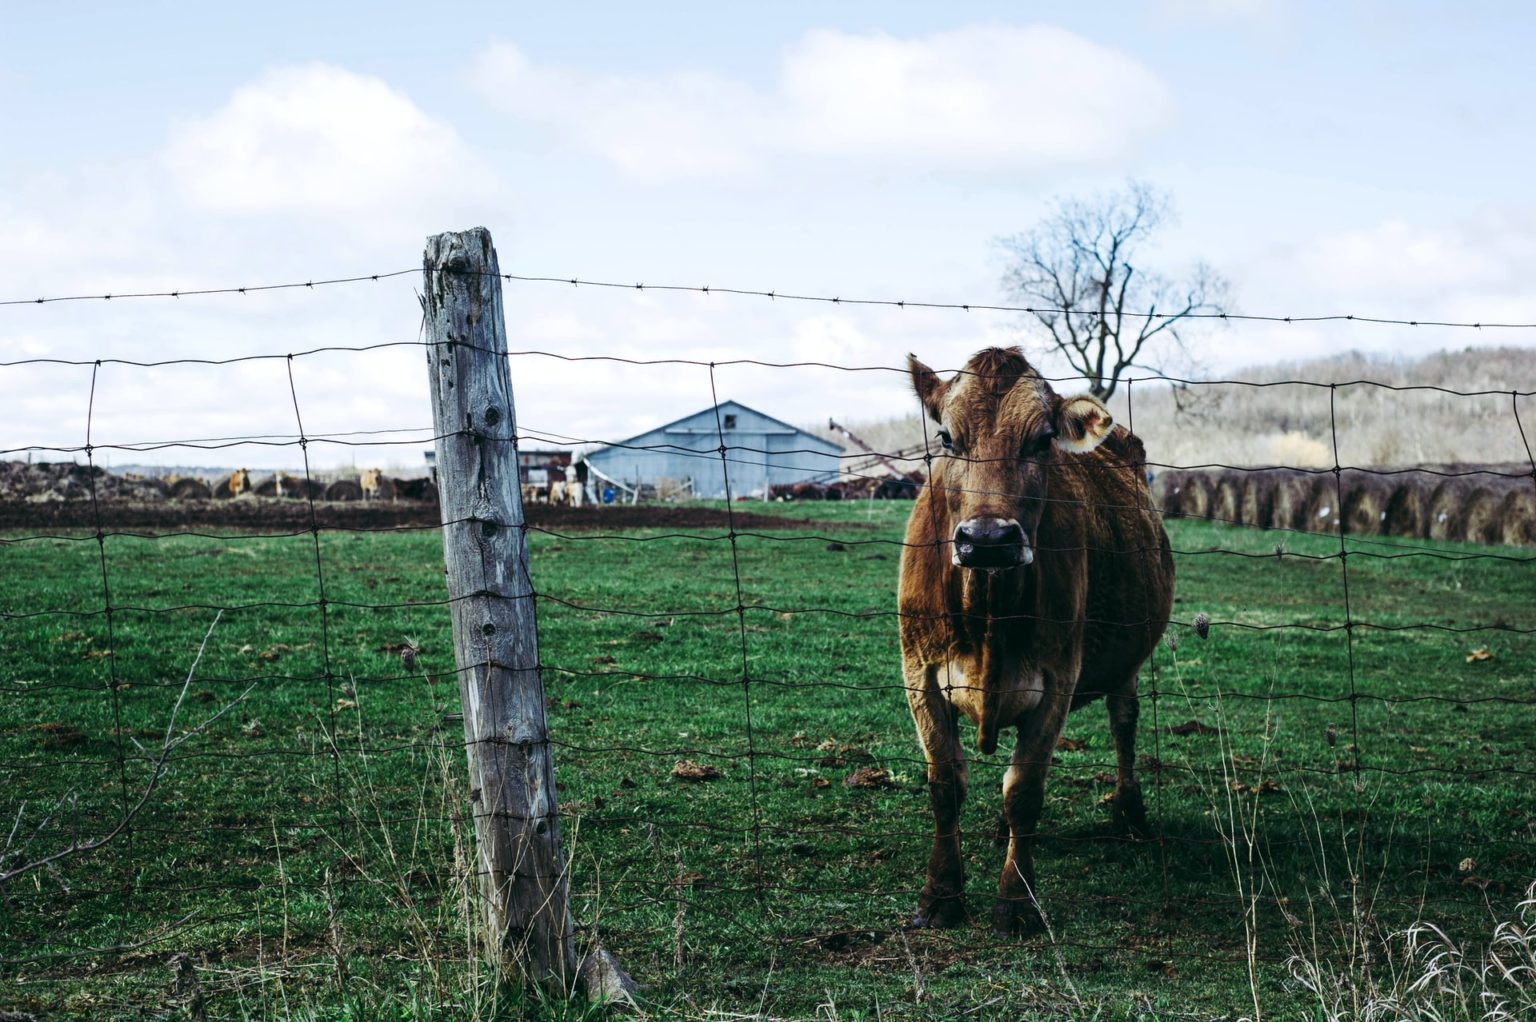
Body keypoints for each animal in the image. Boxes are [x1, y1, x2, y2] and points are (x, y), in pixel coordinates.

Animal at [897, 348, 1167, 934]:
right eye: (947, 437)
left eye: (1042, 440)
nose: (989, 539)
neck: (988, 616)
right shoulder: (919, 674)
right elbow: (945, 784)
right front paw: (941, 895)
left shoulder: (1057, 680)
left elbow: (1024, 790)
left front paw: (1018, 903)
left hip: (1128, 664)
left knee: (1124, 723)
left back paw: (1130, 813)